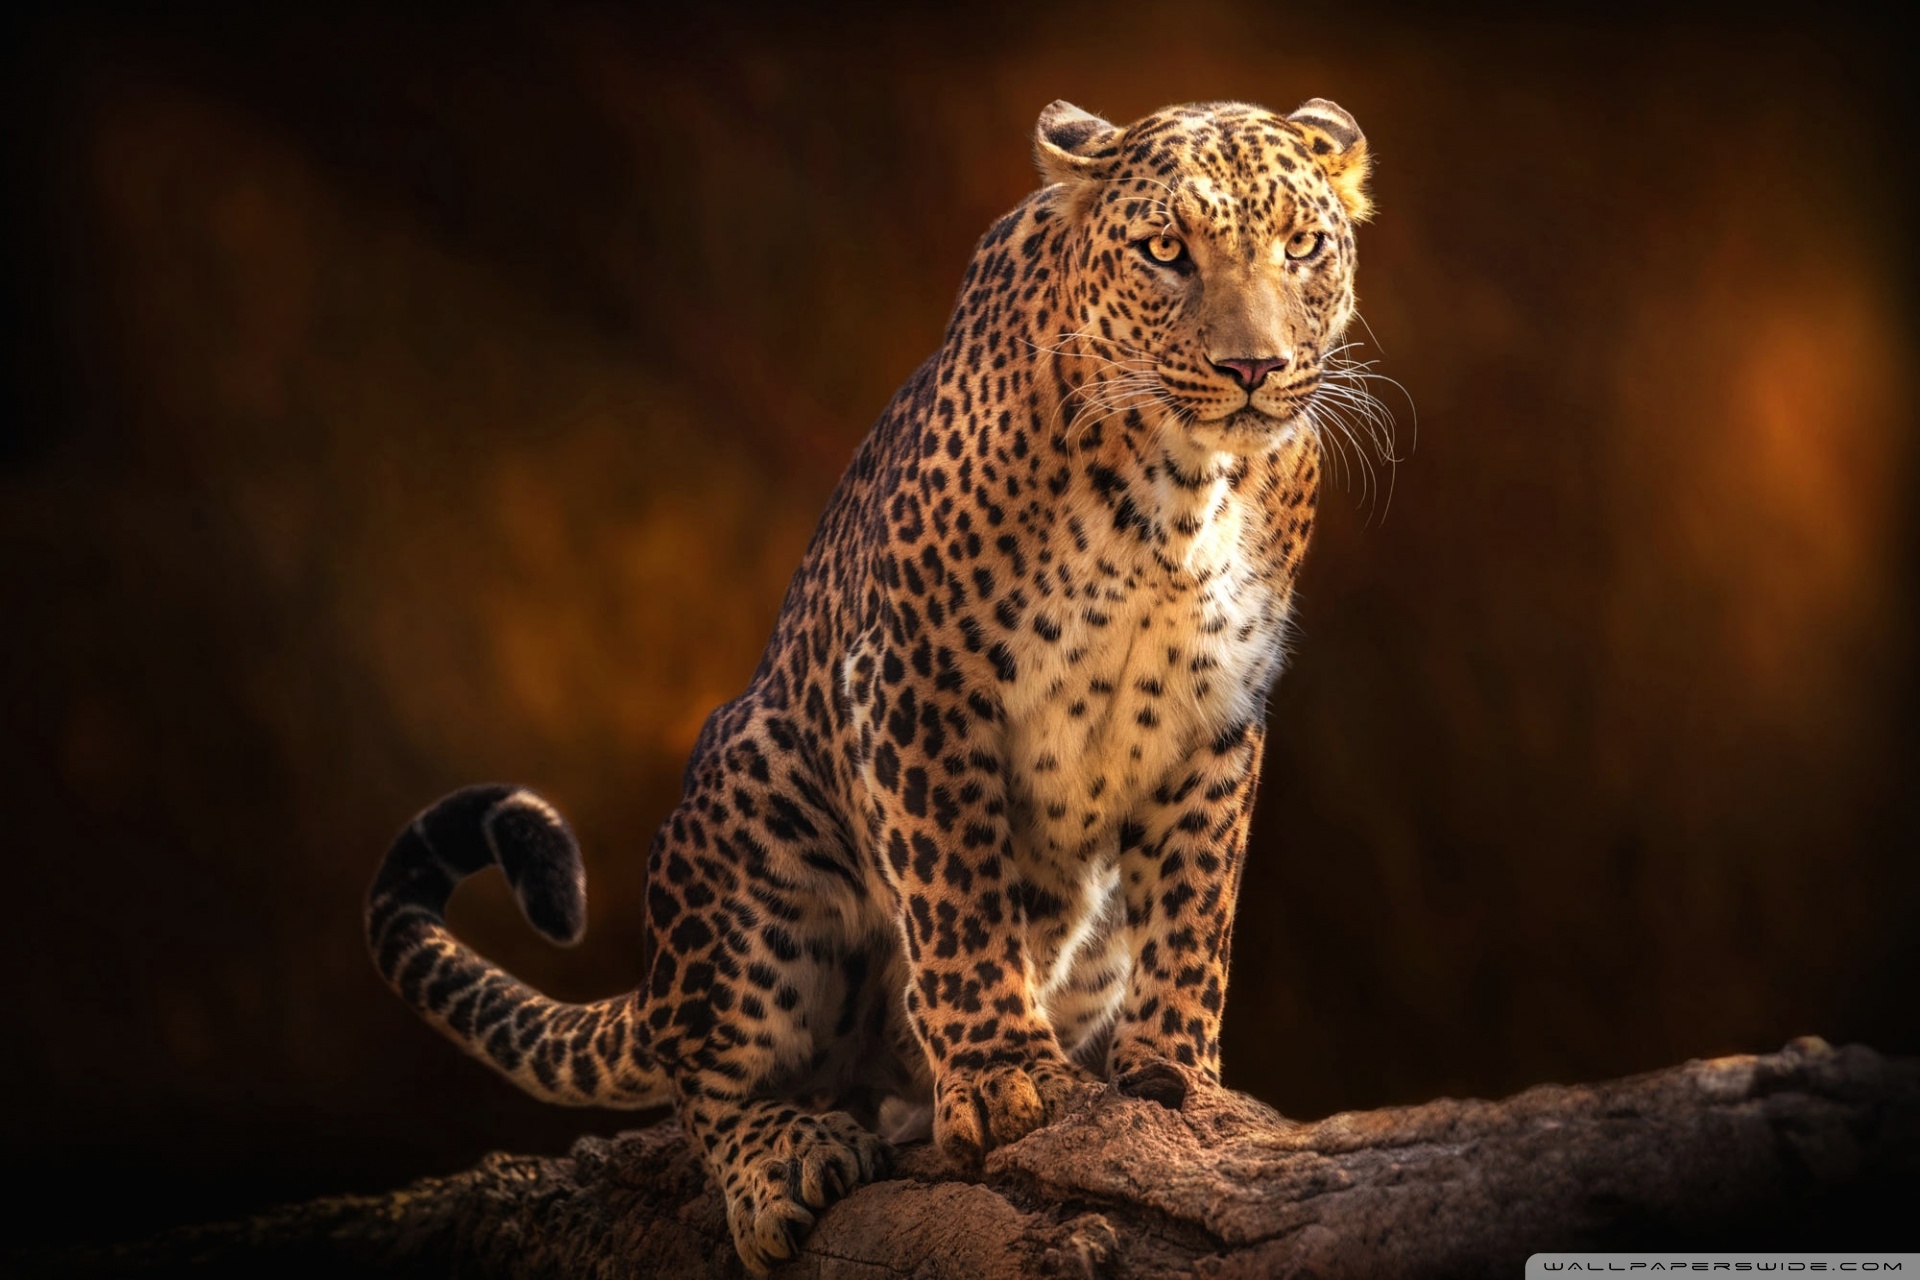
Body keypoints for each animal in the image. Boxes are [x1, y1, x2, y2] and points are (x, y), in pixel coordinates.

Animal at [366, 96, 1377, 1273]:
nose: (1256, 366)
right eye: (1167, 252)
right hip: (755, 801)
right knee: (712, 1075)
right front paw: (1006, 1075)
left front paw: (1175, 1076)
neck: (1181, 489)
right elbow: (957, 894)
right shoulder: (912, 672)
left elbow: (1195, 903)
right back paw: (785, 1158)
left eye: (1301, 248)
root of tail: (655, 986)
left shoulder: (1216, 715)